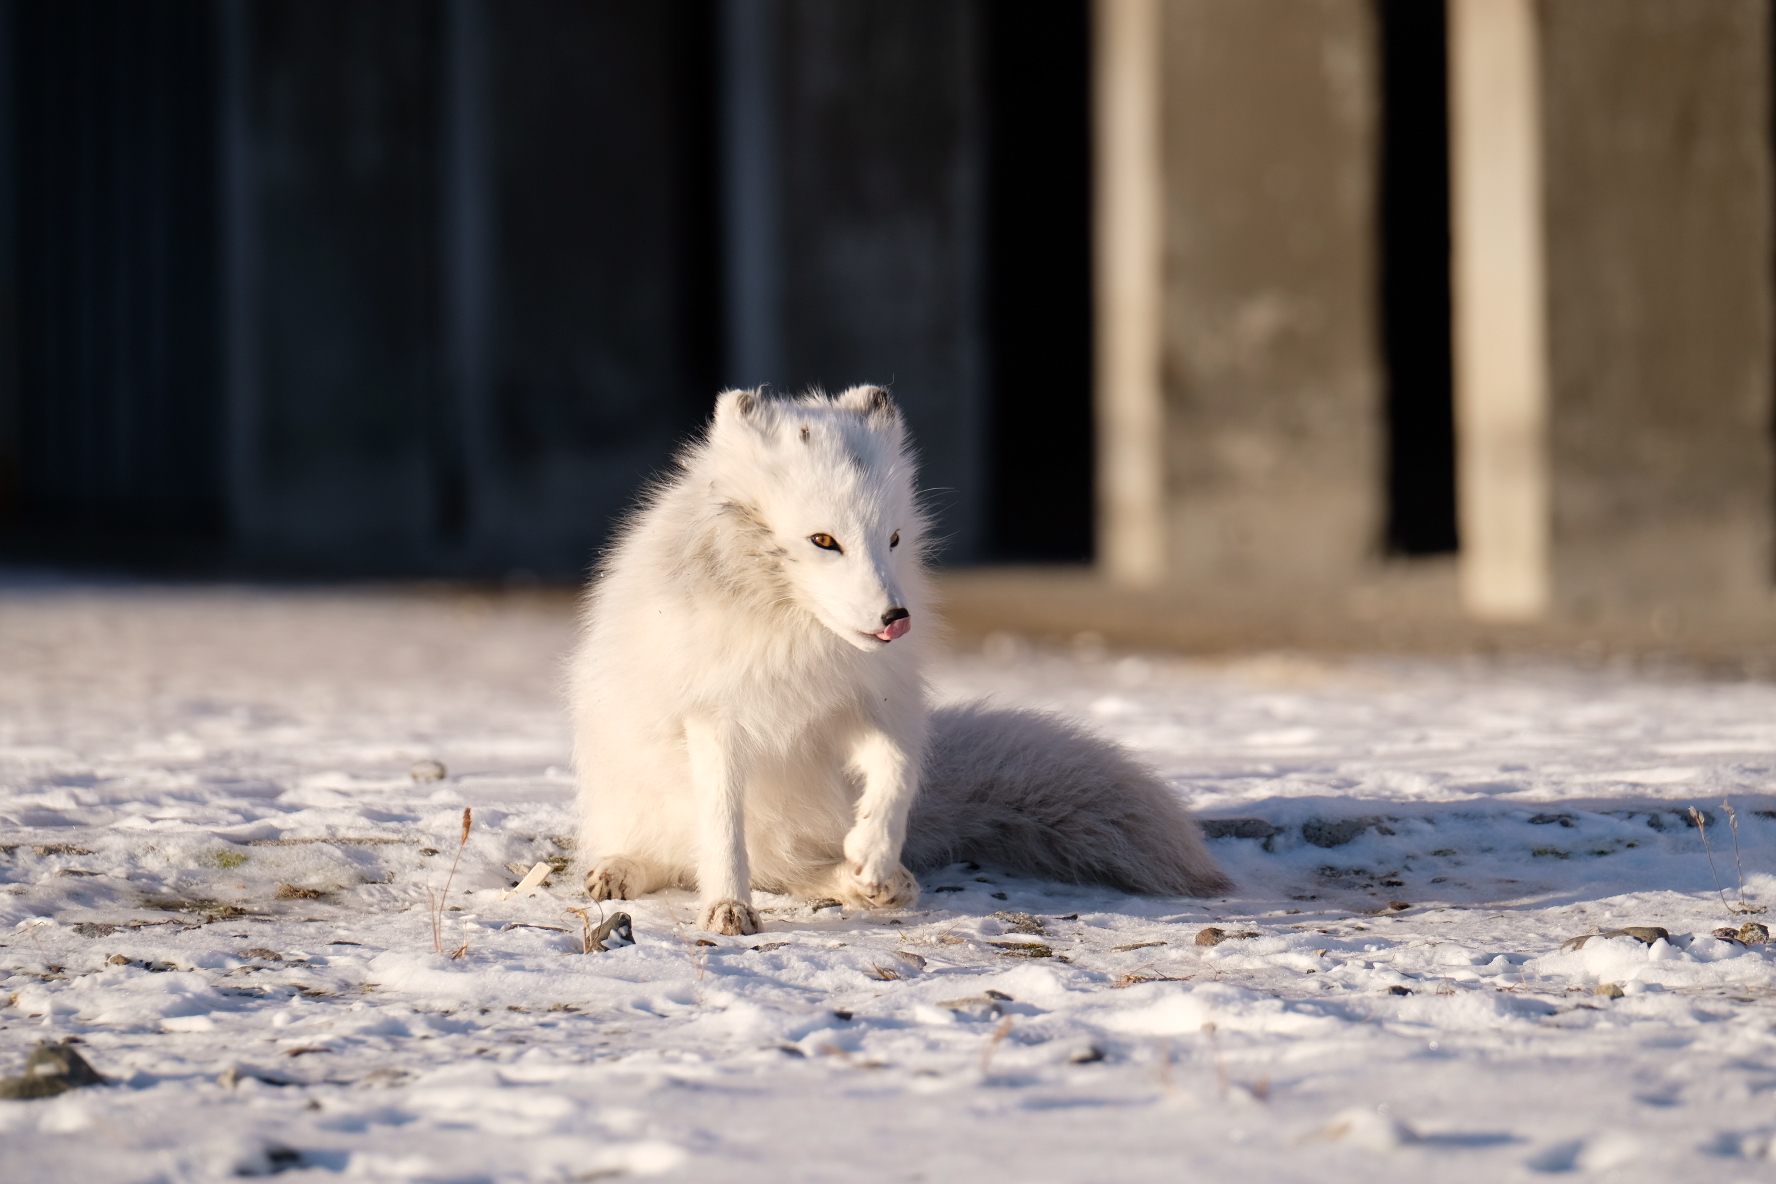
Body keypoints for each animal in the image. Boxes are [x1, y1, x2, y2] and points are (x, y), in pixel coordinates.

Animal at [575, 388, 1228, 937]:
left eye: (891, 539)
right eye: (823, 541)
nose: (897, 618)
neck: (797, 640)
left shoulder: (856, 710)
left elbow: (897, 771)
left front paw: (873, 849)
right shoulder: (714, 722)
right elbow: (722, 829)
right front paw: (727, 908)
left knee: (794, 870)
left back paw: (879, 883)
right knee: (700, 858)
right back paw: (621, 870)